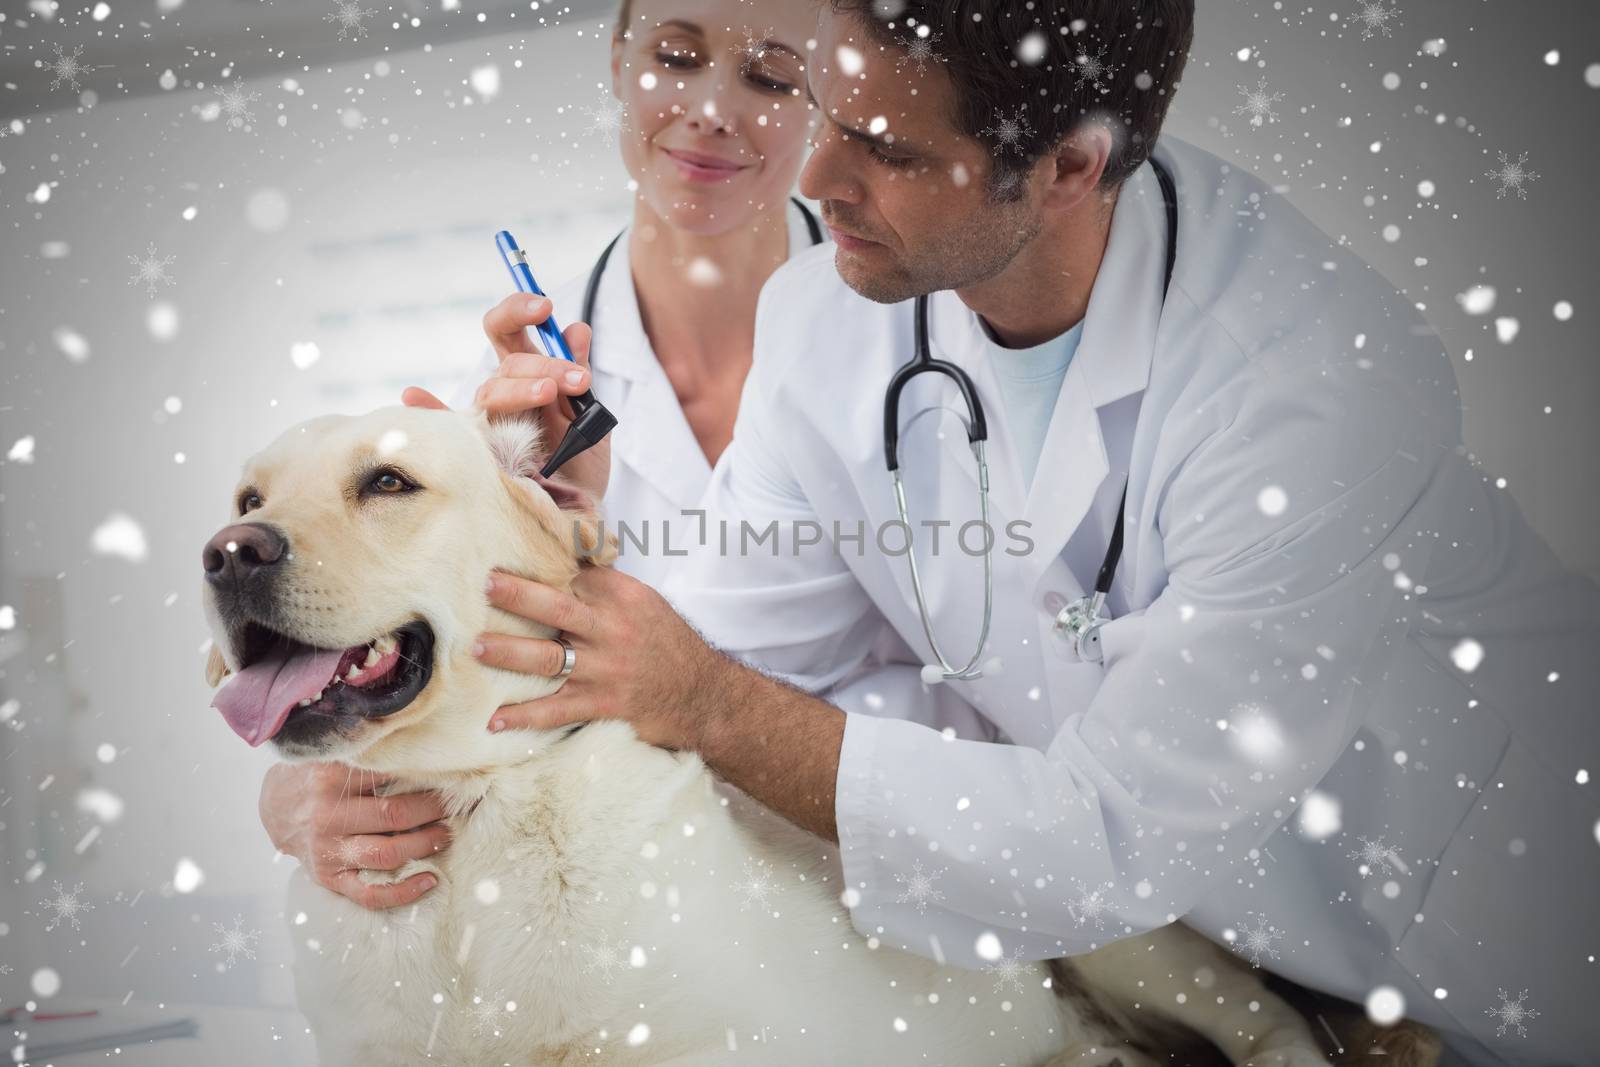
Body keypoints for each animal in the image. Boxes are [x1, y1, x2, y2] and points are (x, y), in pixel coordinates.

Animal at [193, 409, 1433, 1067]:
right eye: (248, 493)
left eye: (387, 480)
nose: (227, 551)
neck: (477, 806)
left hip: (1113, 925)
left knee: (1262, 1016)